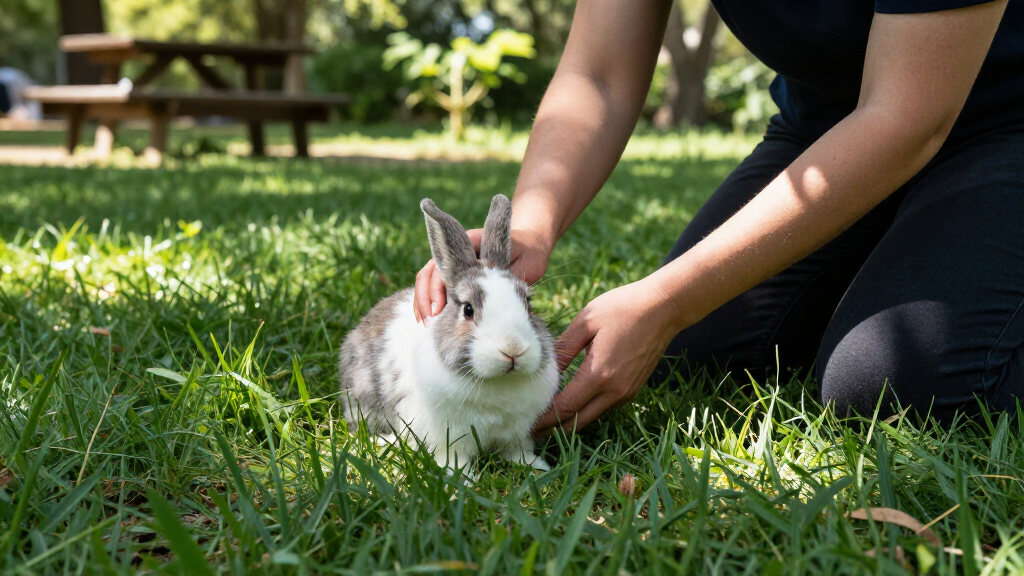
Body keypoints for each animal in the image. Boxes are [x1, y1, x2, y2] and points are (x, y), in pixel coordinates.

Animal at [339, 194, 559, 472]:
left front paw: (536, 467)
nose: (513, 349)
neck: (496, 382)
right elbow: (455, 458)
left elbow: (517, 451)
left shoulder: (517, 432)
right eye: (468, 309)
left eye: (528, 304)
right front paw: (462, 478)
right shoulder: (446, 436)